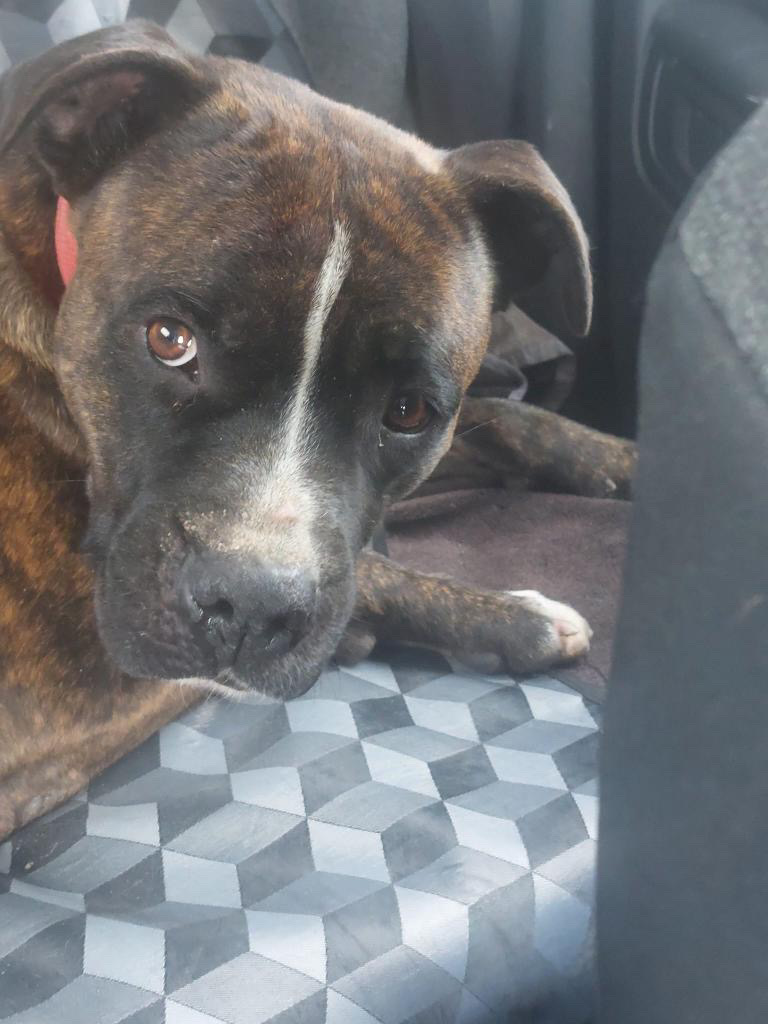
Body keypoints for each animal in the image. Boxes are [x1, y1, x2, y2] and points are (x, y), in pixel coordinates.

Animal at [0, 22, 603, 838]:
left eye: (408, 412)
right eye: (168, 338)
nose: (251, 606)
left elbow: (510, 418)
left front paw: (623, 461)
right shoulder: (65, 696)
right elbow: (373, 572)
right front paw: (519, 619)